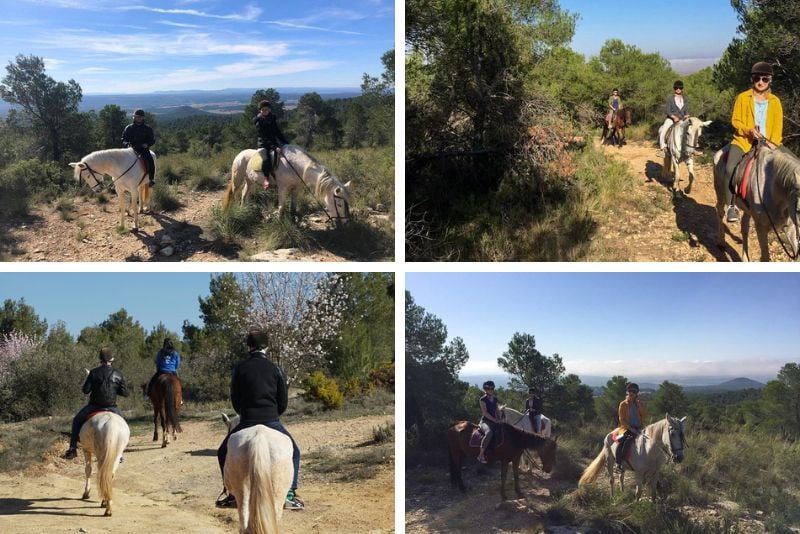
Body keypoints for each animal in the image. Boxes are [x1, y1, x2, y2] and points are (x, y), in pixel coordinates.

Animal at [223, 146, 352, 225]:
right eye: (339, 204)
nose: (346, 222)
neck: (295, 166)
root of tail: (240, 154)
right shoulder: (282, 189)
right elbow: (281, 207)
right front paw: (280, 223)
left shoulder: (296, 189)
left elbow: (293, 207)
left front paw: (293, 221)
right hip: (237, 179)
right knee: (233, 194)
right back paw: (231, 212)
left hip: (249, 181)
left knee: (244, 195)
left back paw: (244, 210)